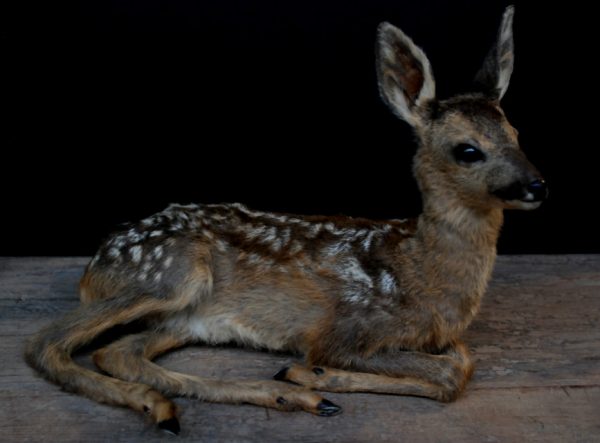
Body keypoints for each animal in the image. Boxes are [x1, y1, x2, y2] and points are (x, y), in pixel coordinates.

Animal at [25, 6, 548, 436]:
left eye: (516, 133)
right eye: (468, 150)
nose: (537, 185)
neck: (420, 272)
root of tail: (96, 261)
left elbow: (460, 358)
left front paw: (310, 378)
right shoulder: (350, 328)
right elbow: (450, 371)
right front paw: (313, 371)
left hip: (183, 315)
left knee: (119, 353)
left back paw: (251, 399)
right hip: (167, 275)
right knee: (47, 344)